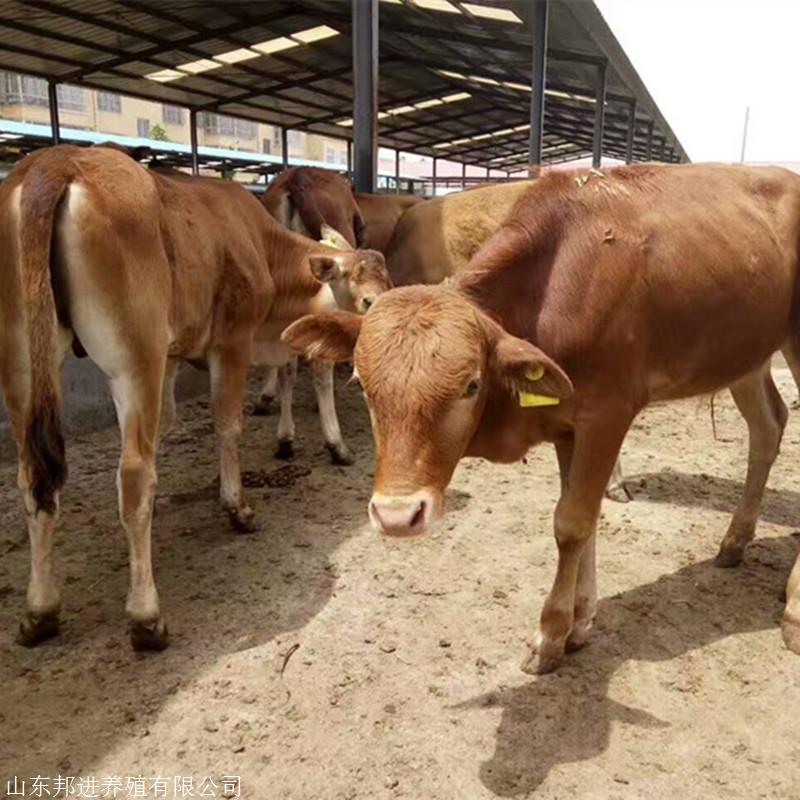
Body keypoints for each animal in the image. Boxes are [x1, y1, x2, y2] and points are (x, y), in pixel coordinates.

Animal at [0, 147, 388, 652]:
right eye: (366, 301)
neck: (261, 246)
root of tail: (58, 161)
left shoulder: (171, 357)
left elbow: (166, 425)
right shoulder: (232, 342)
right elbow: (229, 423)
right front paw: (238, 505)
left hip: (22, 359)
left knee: (34, 476)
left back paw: (40, 609)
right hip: (133, 358)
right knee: (131, 474)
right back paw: (145, 615)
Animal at [284, 166, 800, 672]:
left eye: (471, 385)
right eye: (361, 385)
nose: (396, 517)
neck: (555, 290)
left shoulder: (608, 416)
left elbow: (571, 522)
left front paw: (549, 636)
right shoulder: (568, 424)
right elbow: (585, 520)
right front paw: (580, 622)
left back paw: (792, 609)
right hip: (744, 352)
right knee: (768, 427)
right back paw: (734, 542)